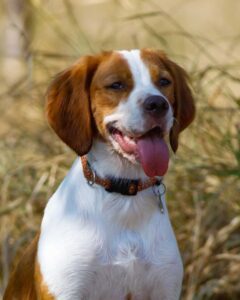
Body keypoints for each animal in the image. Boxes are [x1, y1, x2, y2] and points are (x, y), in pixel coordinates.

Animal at [3, 48, 195, 298]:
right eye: (116, 85)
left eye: (164, 81)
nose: (158, 104)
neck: (123, 197)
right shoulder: (66, 289)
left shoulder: (164, 288)